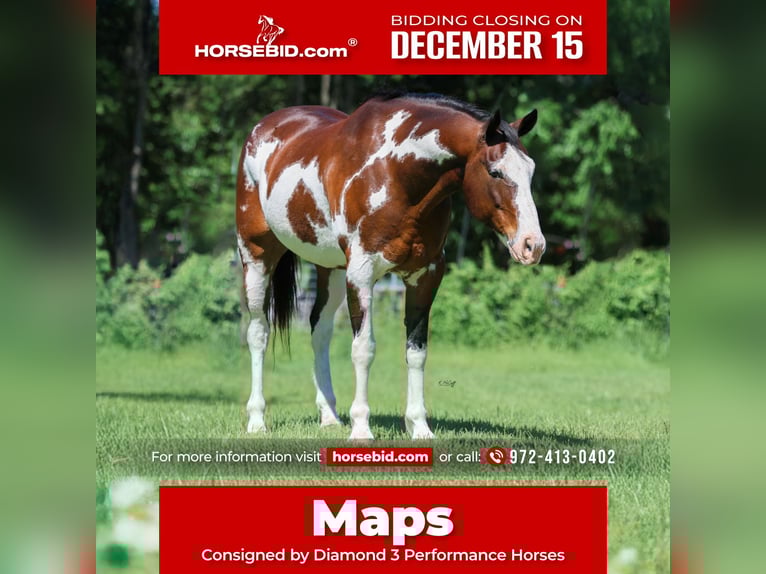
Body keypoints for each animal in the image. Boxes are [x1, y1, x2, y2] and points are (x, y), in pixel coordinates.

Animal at [235, 93, 545, 440]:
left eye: (530, 170)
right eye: (495, 172)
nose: (533, 245)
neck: (397, 173)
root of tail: (264, 127)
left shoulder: (426, 275)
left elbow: (416, 351)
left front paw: (420, 427)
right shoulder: (362, 273)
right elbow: (363, 349)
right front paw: (361, 428)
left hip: (331, 269)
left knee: (320, 329)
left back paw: (329, 415)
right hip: (256, 255)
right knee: (258, 332)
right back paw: (257, 420)